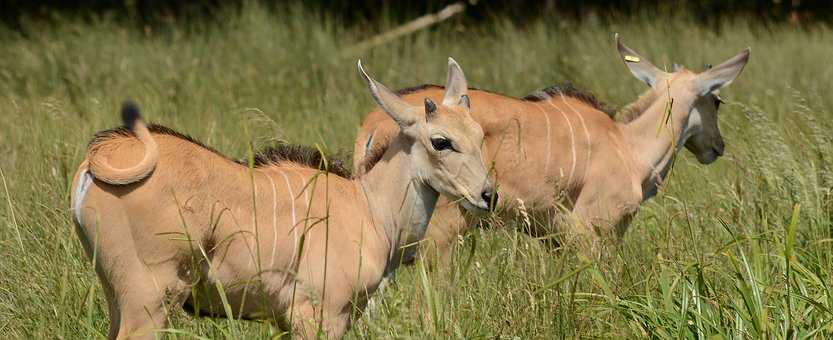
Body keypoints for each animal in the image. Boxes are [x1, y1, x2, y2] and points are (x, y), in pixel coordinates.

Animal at [70, 59, 494, 338]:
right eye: (441, 141)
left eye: (479, 134)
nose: (488, 194)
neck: (369, 206)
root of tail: (96, 158)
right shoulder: (319, 314)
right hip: (149, 299)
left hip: (117, 295)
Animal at [354, 35, 752, 262]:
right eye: (717, 101)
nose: (717, 146)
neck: (627, 145)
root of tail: (374, 124)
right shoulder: (592, 230)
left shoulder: (556, 240)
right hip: (439, 234)